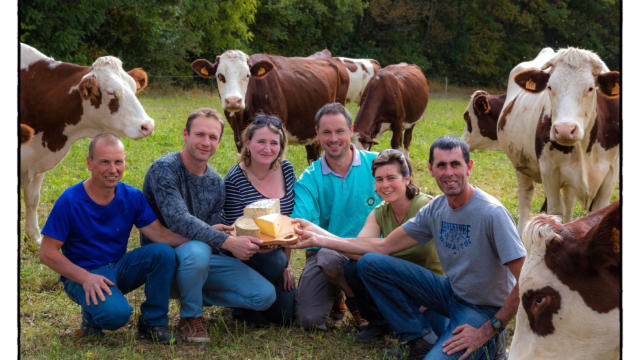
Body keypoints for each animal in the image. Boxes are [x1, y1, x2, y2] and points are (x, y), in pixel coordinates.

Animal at [20, 43, 154, 245]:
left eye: (133, 87)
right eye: (110, 92)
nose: (147, 125)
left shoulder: (37, 163)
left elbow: (32, 199)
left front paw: (35, 237)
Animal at [498, 47, 616, 233]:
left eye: (590, 88)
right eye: (550, 87)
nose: (565, 130)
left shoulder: (611, 173)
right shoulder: (549, 170)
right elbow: (554, 212)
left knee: (568, 202)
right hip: (520, 165)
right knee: (526, 196)